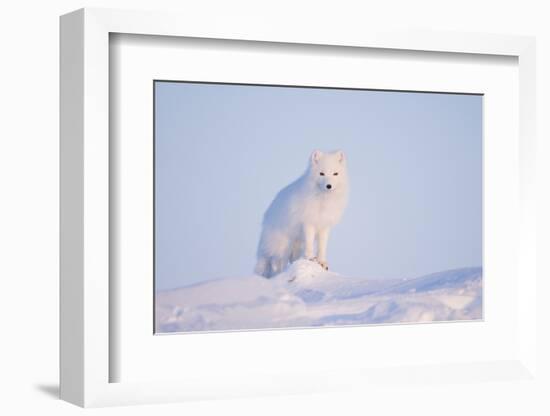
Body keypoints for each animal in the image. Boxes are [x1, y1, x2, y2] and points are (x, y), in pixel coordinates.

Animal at [256, 150, 350, 280]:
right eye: (321, 173)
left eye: (335, 173)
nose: (329, 186)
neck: (323, 202)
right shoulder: (308, 223)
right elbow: (310, 243)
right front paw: (310, 258)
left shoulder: (324, 226)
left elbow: (322, 246)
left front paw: (322, 262)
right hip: (282, 247)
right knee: (276, 264)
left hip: (295, 247)